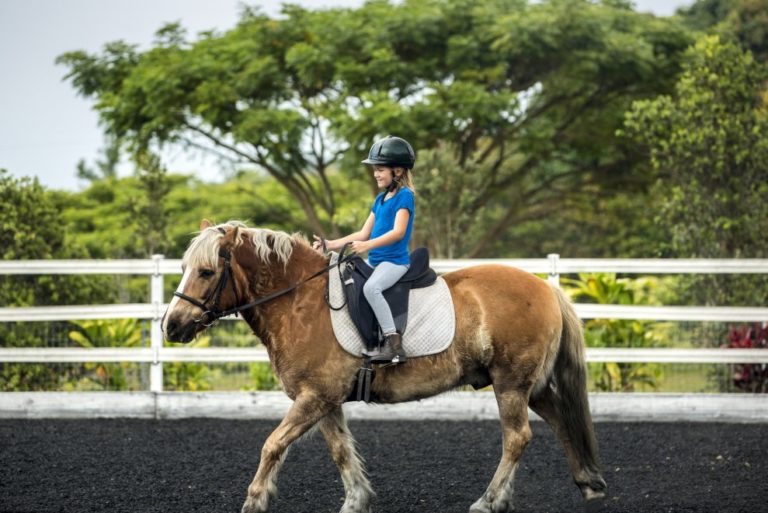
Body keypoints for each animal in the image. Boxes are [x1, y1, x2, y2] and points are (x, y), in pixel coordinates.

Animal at [162, 218, 608, 510]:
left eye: (206, 272)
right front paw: (356, 501)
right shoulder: (324, 400)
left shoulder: (314, 397)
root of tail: (547, 288)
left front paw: (254, 501)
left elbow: (272, 444)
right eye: (183, 269)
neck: (300, 303)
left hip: (511, 383)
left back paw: (489, 500)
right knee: (560, 420)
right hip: (529, 385)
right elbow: (341, 451)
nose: (171, 325)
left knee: (517, 438)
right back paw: (587, 483)